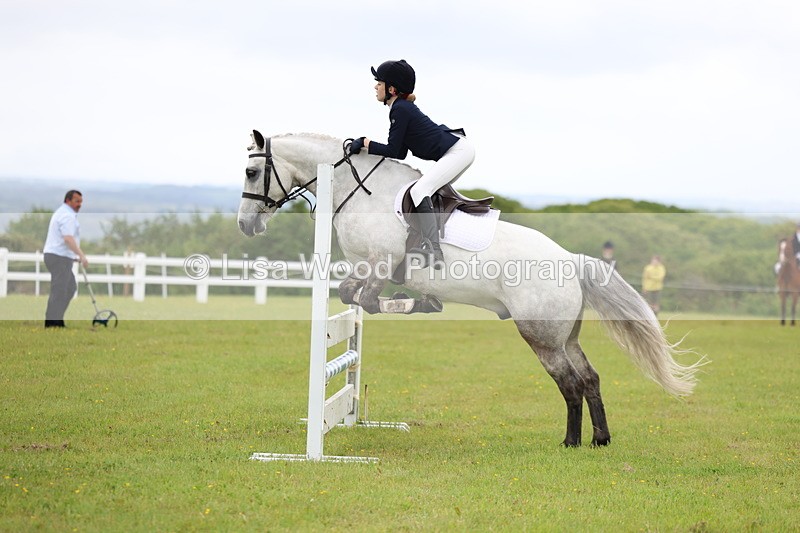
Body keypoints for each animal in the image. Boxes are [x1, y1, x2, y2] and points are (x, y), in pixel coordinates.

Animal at [237, 130, 705, 447]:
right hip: (563, 335)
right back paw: (600, 439)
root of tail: (571, 261)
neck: (360, 192)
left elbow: (366, 300)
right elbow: (350, 296)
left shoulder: (380, 263)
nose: (246, 225)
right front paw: (422, 302)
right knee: (589, 378)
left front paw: (422, 304)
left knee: (571, 383)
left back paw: (571, 442)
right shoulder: (363, 267)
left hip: (539, 335)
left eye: (252, 171)